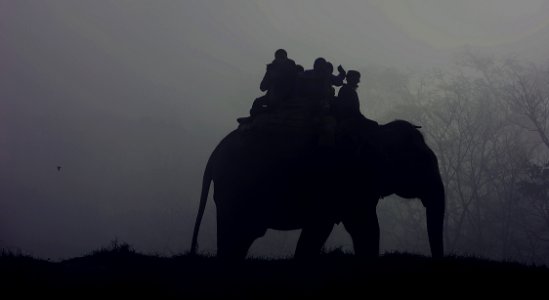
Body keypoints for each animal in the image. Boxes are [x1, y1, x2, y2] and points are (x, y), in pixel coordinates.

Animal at [191, 116, 444, 258]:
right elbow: (362, 227)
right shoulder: (348, 181)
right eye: (422, 162)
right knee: (237, 234)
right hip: (237, 189)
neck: (379, 132)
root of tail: (215, 153)